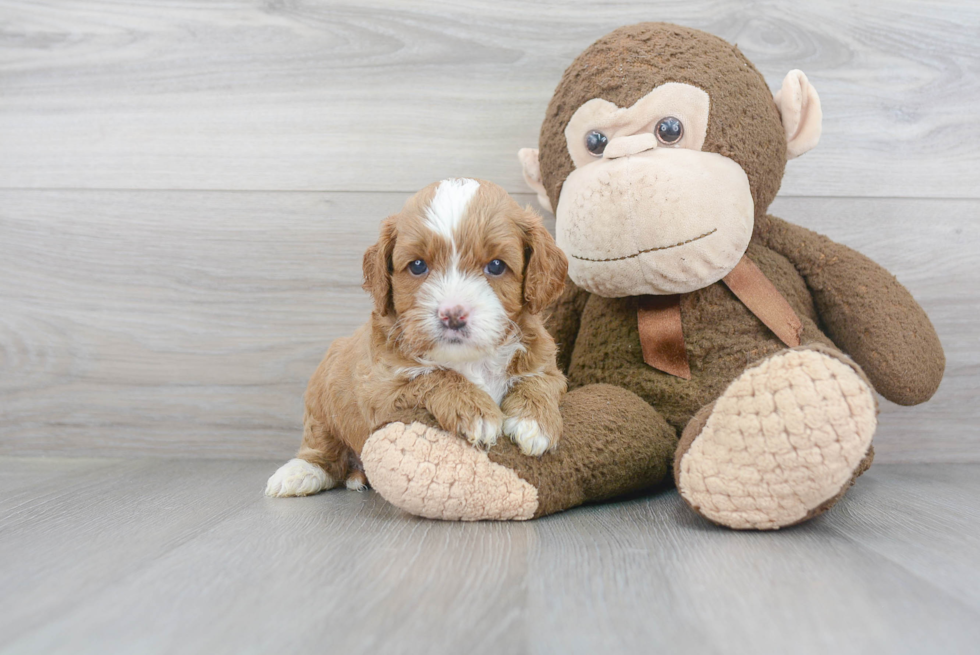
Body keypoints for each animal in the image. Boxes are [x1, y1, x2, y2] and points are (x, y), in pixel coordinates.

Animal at [266, 178, 568, 498]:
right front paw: (476, 410)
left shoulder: (545, 362)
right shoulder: (379, 389)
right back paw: (298, 473)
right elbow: (432, 375)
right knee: (323, 448)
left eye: (496, 266)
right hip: (321, 401)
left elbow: (540, 380)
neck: (470, 360)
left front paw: (534, 422)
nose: (452, 314)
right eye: (418, 266)